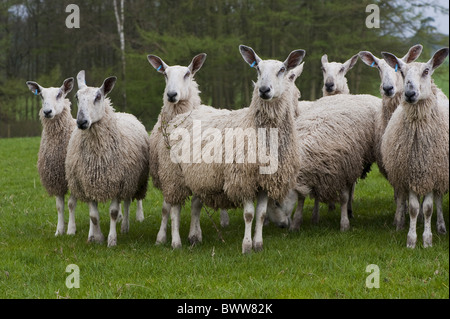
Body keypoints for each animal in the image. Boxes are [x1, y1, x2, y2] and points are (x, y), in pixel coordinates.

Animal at [25, 78, 77, 236]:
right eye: (41, 95)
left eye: (59, 94)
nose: (47, 112)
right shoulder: (56, 178)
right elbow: (59, 206)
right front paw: (59, 231)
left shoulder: (73, 178)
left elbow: (71, 204)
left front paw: (71, 230)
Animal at [65, 71, 150, 249]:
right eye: (76, 96)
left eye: (98, 96)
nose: (81, 122)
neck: (97, 158)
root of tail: (123, 113)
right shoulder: (87, 184)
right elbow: (93, 215)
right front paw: (97, 237)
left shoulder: (118, 183)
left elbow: (113, 212)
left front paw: (111, 240)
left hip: (131, 181)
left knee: (127, 203)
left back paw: (124, 226)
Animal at [156, 45, 306, 255]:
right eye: (258, 69)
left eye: (282, 70)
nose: (264, 90)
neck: (254, 126)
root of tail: (181, 116)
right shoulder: (243, 179)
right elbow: (249, 215)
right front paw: (247, 246)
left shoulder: (264, 181)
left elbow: (260, 215)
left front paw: (258, 245)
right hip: (173, 174)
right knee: (174, 208)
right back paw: (175, 242)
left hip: (195, 176)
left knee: (192, 205)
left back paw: (193, 238)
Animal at [380, 47, 450, 249]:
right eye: (402, 72)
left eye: (426, 71)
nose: (410, 93)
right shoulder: (409, 173)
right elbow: (413, 208)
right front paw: (411, 240)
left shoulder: (432, 174)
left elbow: (428, 208)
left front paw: (427, 240)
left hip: (440, 172)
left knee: (439, 200)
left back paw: (441, 226)